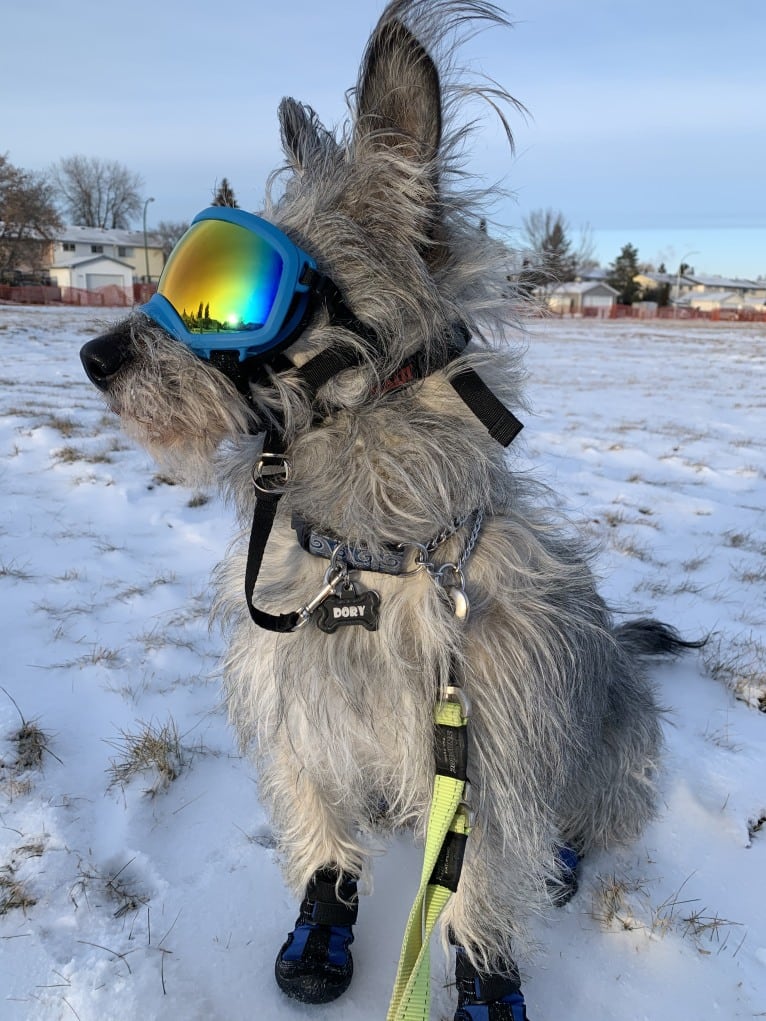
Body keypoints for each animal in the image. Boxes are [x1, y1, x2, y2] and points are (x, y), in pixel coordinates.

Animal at [79, 3, 702, 1016]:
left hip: (610, 748)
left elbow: (479, 883)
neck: (365, 554)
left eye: (247, 290)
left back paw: (565, 859)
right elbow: (320, 828)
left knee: (586, 816)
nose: (94, 357)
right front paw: (324, 916)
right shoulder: (298, 709)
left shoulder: (493, 754)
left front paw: (486, 977)